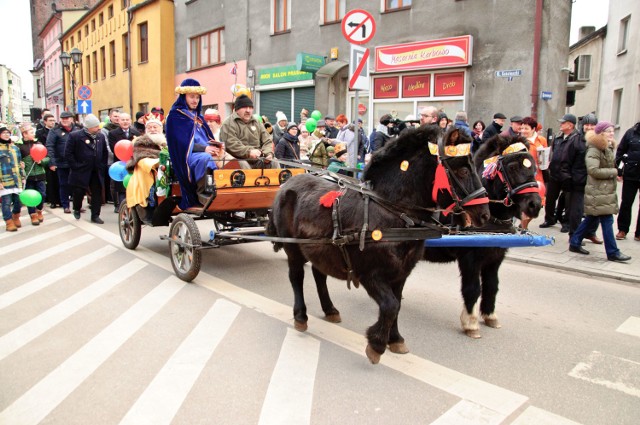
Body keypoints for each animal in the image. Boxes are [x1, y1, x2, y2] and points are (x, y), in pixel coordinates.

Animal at [264, 126, 490, 362]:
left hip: (320, 248)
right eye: (463, 171)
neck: (393, 212)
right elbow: (390, 306)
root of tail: (288, 183)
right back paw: (300, 316)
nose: (485, 214)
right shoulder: (370, 274)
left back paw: (330, 309)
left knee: (319, 275)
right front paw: (377, 344)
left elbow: (397, 304)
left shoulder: (401, 274)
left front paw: (396, 339)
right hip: (293, 248)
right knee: (297, 277)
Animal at [422, 134, 544, 336]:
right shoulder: (470, 259)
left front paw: (490, 315)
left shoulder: (495, 257)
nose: (535, 205)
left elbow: (492, 286)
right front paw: (470, 323)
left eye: (533, 166)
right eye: (512, 167)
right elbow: (472, 289)